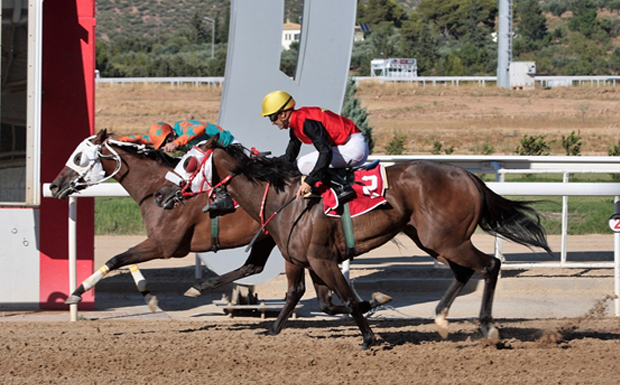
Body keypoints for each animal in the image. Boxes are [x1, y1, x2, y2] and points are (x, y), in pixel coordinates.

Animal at [49, 129, 388, 312]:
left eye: (79, 157)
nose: (54, 186)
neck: (156, 188)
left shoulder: (165, 245)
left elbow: (118, 257)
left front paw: (77, 292)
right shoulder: (159, 243)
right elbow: (123, 259)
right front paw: (148, 295)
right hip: (269, 236)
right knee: (254, 266)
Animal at [156, 137, 552, 348]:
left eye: (189, 161)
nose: (160, 194)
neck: (286, 199)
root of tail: (468, 176)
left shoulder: (322, 259)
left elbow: (344, 299)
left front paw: (370, 335)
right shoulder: (304, 259)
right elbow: (309, 298)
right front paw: (273, 329)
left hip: (446, 238)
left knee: (490, 265)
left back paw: (488, 327)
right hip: (433, 240)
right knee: (464, 272)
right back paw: (440, 319)